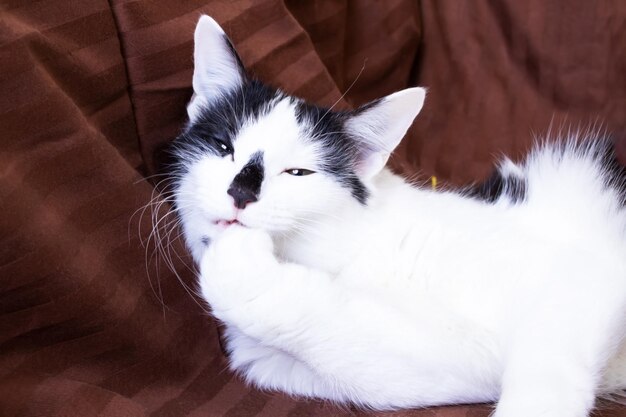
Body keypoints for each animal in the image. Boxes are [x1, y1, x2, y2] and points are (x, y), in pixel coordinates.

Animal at [162, 15, 624, 416]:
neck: (351, 254)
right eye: (223, 147)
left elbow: (549, 364)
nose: (241, 192)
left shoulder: (582, 277)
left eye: (298, 172)